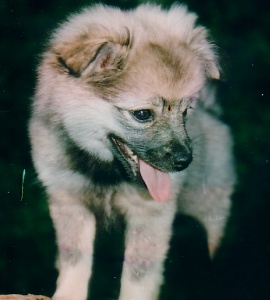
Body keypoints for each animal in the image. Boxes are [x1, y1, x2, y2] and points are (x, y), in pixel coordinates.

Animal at [29, 2, 234, 300]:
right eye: (142, 114)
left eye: (185, 112)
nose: (184, 161)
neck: (105, 172)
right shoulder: (70, 202)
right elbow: (75, 260)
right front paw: (68, 293)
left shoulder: (149, 216)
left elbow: (138, 277)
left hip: (209, 212)